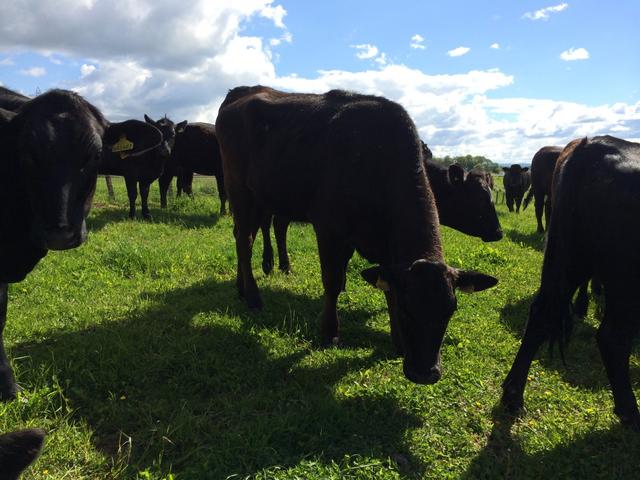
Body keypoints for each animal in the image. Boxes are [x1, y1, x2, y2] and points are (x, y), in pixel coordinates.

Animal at [215, 86, 496, 384]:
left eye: (451, 310)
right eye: (408, 308)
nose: (425, 373)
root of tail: (240, 94)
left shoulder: (386, 247)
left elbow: (386, 288)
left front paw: (397, 341)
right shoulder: (329, 229)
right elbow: (332, 282)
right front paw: (329, 332)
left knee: (244, 236)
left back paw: (242, 287)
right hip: (240, 192)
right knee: (244, 242)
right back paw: (253, 296)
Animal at [502, 137, 640, 430]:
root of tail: (593, 145)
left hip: (571, 257)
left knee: (541, 314)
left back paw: (513, 396)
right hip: (624, 281)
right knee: (612, 337)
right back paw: (631, 414)